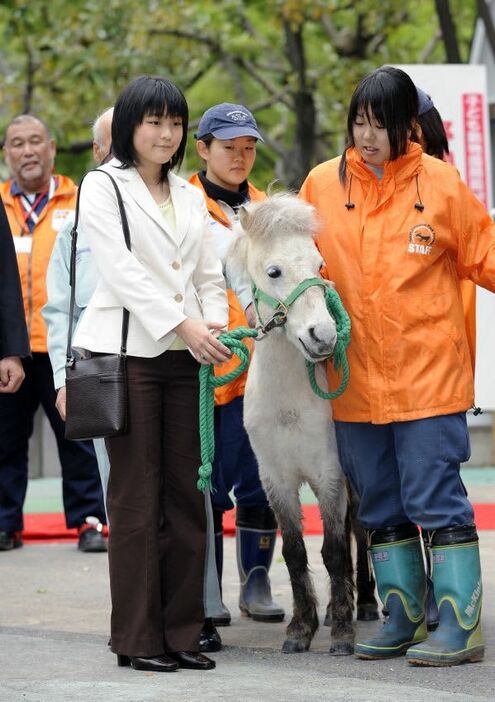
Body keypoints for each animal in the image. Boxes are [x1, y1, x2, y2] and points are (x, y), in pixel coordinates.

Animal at [229, 194, 356, 656]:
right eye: (274, 271)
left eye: (319, 265)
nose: (323, 336)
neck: (289, 404)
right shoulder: (276, 481)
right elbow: (297, 552)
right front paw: (301, 628)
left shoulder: (330, 476)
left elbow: (334, 551)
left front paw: (342, 632)